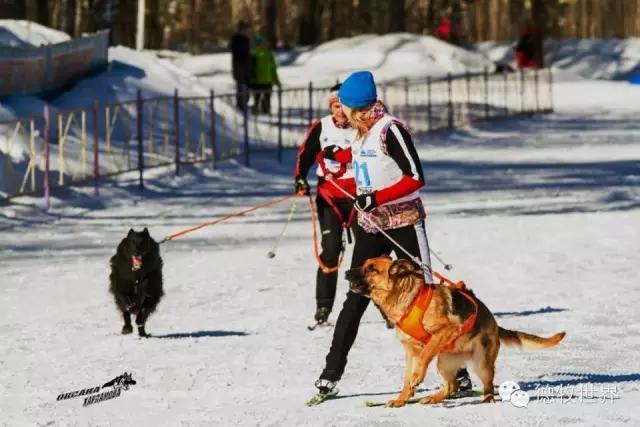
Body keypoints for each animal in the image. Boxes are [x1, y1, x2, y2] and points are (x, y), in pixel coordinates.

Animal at [344, 258, 564, 408]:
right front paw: (401, 400)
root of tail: (494, 323)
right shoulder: (410, 351)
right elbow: (407, 379)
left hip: (481, 363)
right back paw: (433, 398)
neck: (407, 299)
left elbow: (424, 356)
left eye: (370, 268)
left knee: (487, 384)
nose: (345, 272)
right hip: (444, 361)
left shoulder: (443, 332)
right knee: (452, 386)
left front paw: (417, 379)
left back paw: (487, 400)